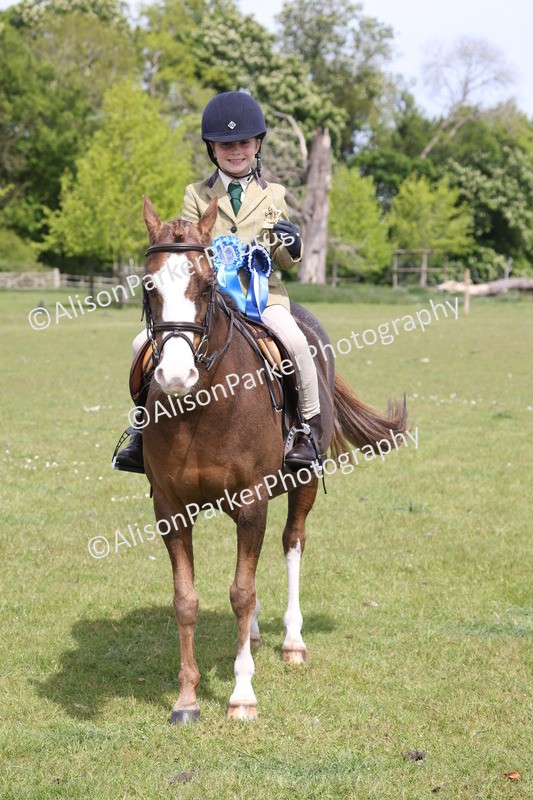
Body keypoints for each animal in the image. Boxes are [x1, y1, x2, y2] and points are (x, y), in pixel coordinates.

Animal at [140, 195, 407, 723]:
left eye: (206, 284)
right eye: (149, 285)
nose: (176, 376)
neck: (202, 405)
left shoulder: (252, 500)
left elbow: (241, 592)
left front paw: (242, 695)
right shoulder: (171, 509)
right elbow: (186, 599)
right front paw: (186, 699)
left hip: (302, 484)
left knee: (292, 544)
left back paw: (291, 641)